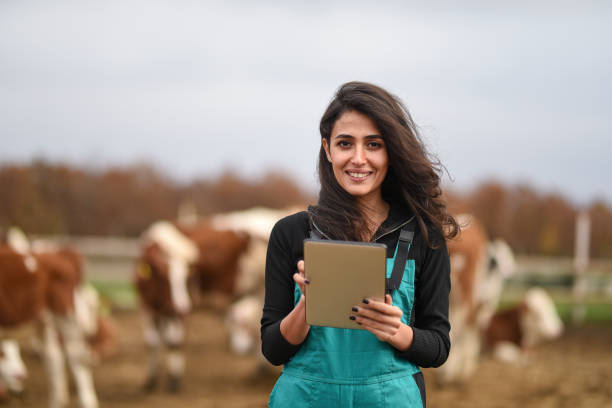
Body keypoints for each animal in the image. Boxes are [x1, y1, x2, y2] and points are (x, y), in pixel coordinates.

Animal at [135, 222, 250, 394]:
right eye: (164, 278)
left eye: (186, 279)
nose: (183, 307)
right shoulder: (147, 307)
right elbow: (152, 343)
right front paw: (151, 380)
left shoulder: (174, 313)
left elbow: (174, 343)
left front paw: (174, 381)